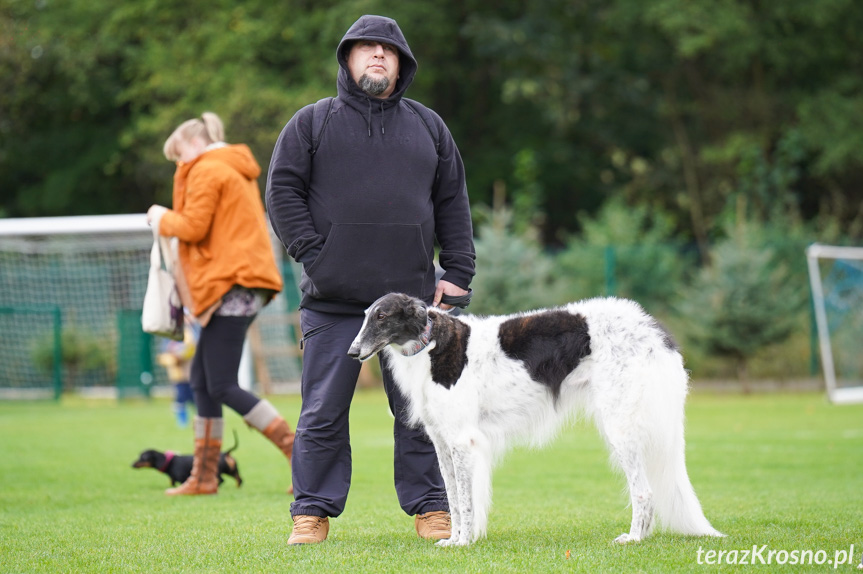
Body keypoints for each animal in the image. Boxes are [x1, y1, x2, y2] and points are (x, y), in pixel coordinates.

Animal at [348, 294, 724, 548]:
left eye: (382, 316)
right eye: (366, 316)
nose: (352, 352)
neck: (432, 344)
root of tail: (653, 328)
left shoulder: (463, 441)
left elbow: (466, 502)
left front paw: (464, 542)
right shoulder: (442, 441)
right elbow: (454, 498)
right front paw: (453, 539)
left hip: (621, 426)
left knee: (644, 492)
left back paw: (633, 538)